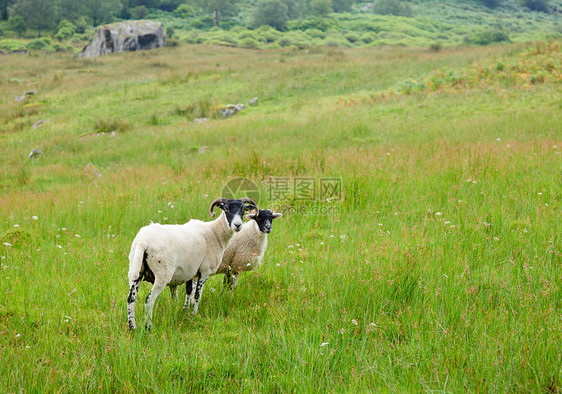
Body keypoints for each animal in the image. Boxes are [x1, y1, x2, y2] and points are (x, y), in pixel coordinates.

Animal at [125, 196, 256, 330]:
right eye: (226, 209)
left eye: (243, 209)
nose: (237, 225)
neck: (215, 233)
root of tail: (143, 242)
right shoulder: (204, 271)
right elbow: (197, 295)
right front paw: (194, 315)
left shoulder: (191, 271)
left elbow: (188, 292)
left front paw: (185, 312)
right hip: (162, 273)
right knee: (149, 300)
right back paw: (148, 327)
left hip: (135, 270)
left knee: (131, 299)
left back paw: (132, 328)